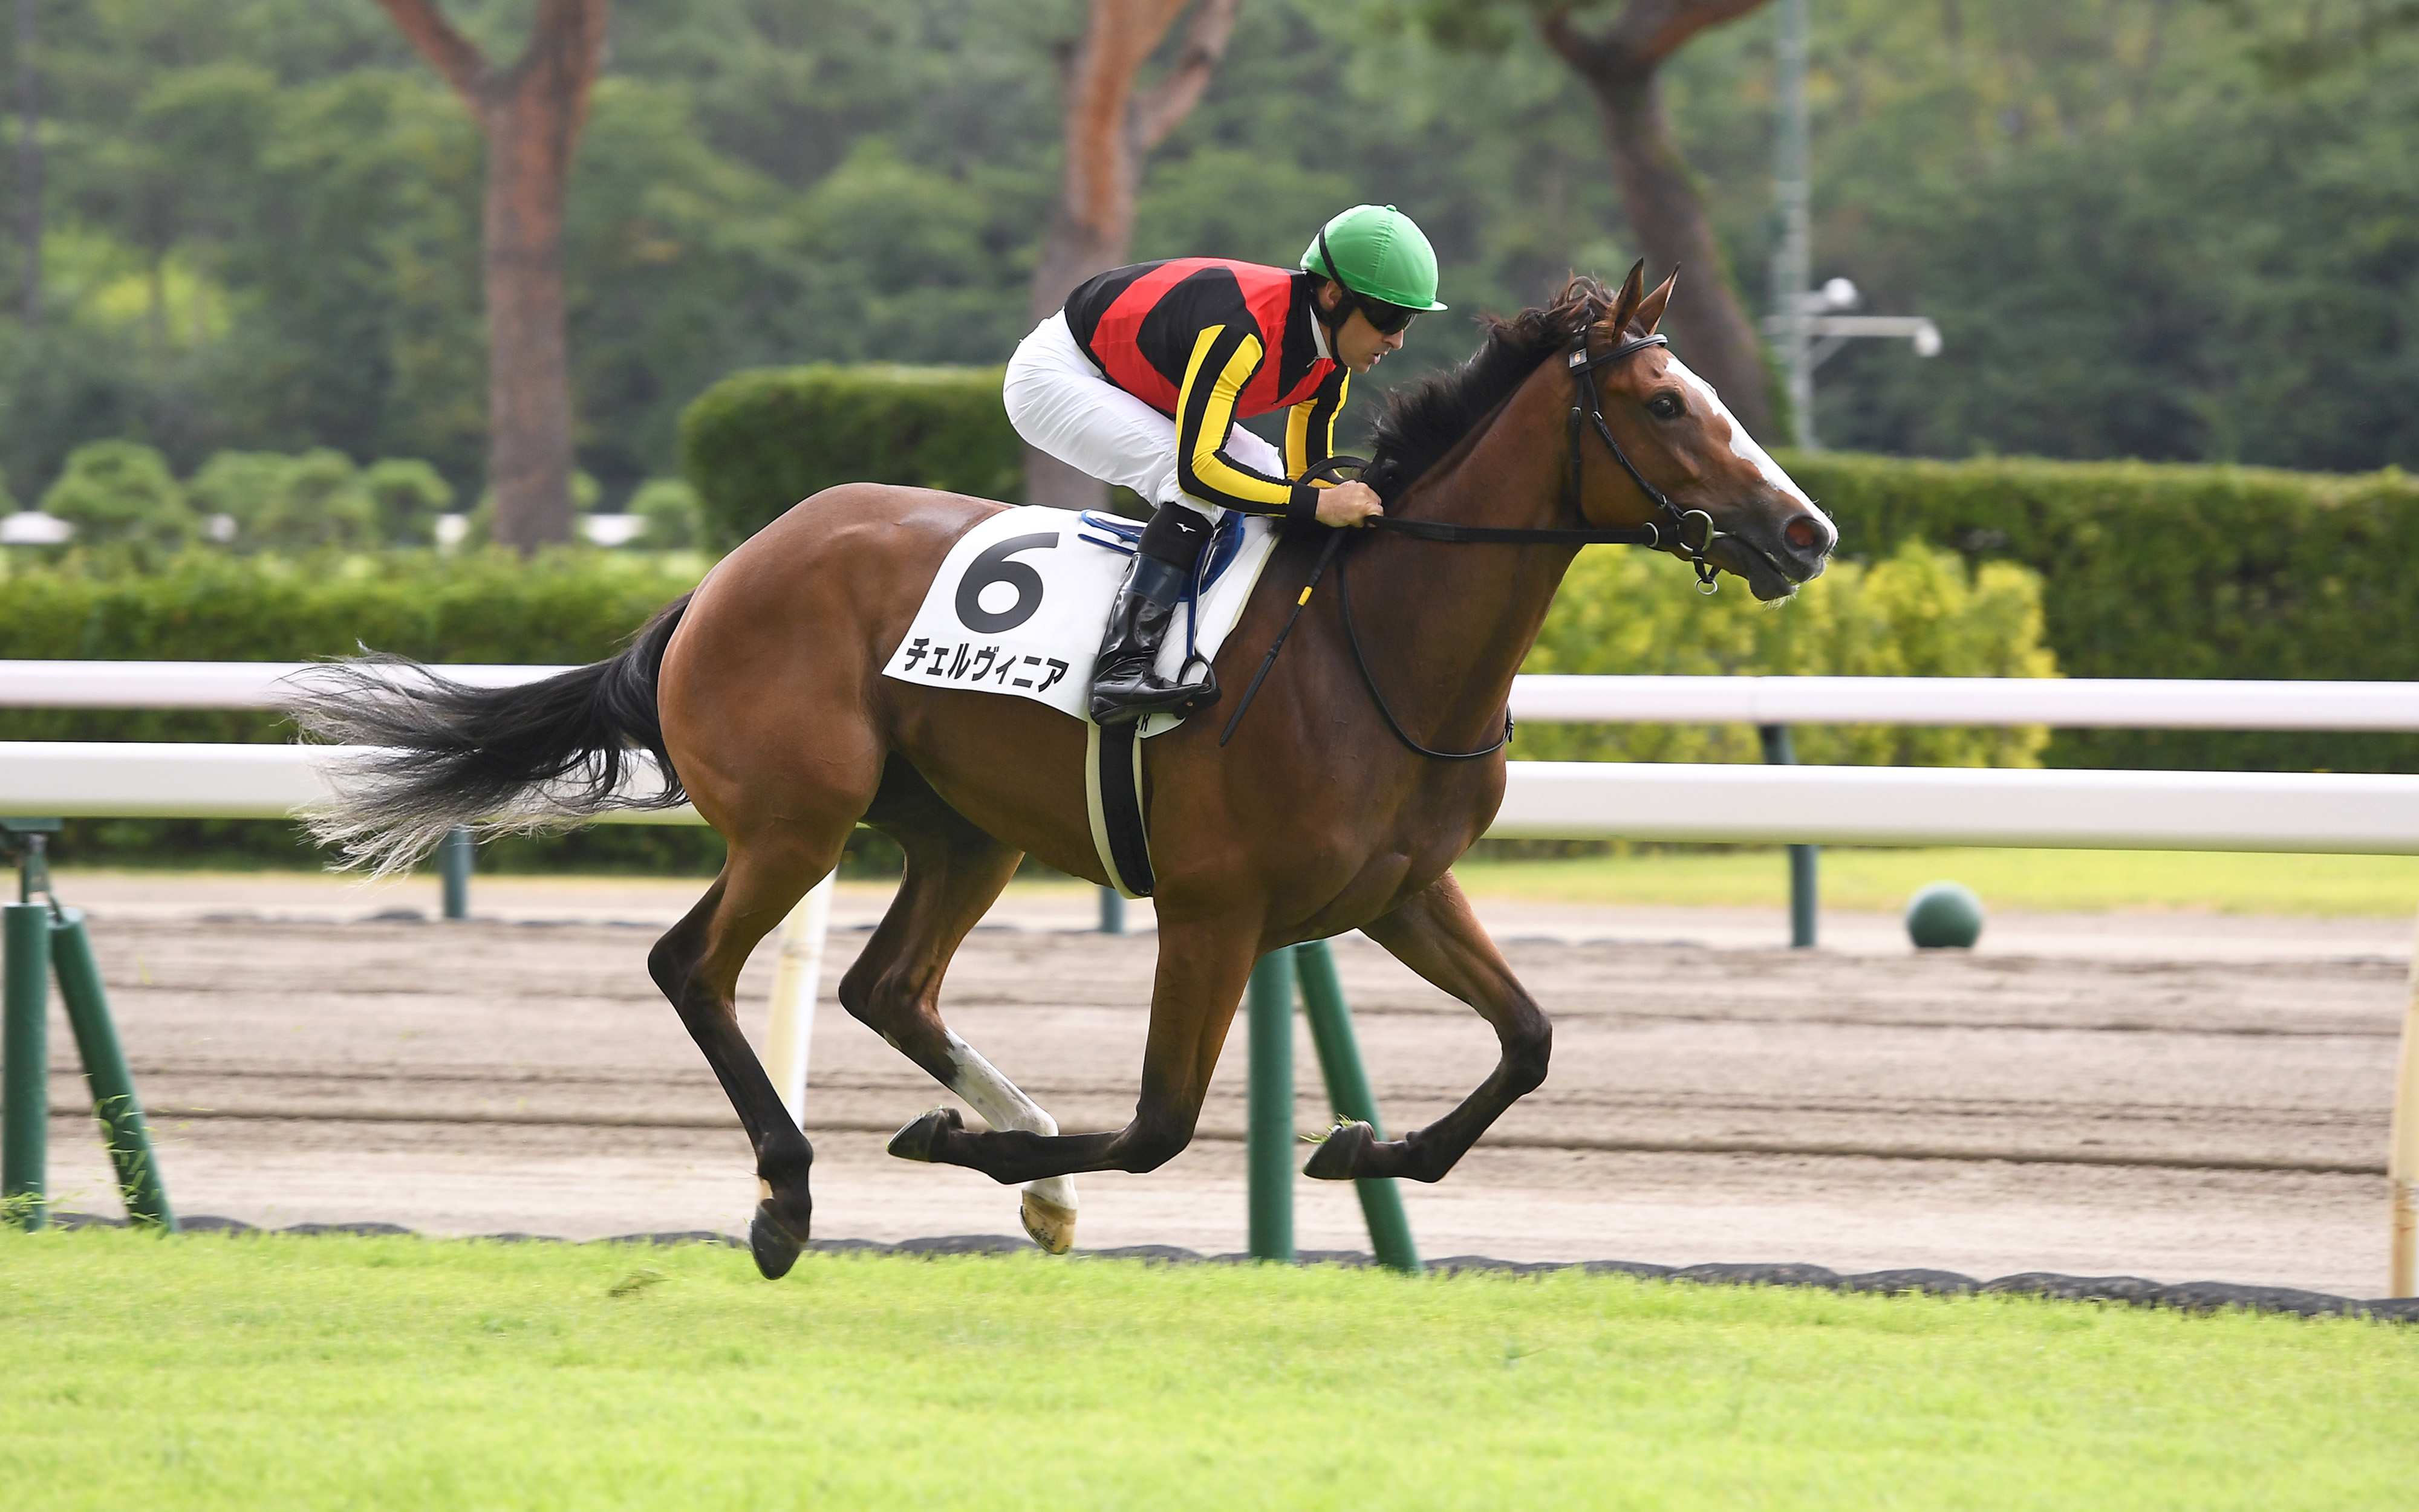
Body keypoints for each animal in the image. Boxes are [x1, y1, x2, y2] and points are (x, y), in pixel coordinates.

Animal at [288, 259, 1829, 1277]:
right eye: (1665, 401)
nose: (1806, 532)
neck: (1371, 643)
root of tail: (724, 572)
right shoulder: (1213, 909)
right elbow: (1154, 1124)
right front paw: (950, 1151)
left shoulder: (1398, 890)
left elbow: (1527, 1040)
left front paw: (1355, 1148)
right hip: (796, 820)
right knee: (693, 966)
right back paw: (791, 1194)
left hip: (967, 832)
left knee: (884, 984)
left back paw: (1010, 1155)